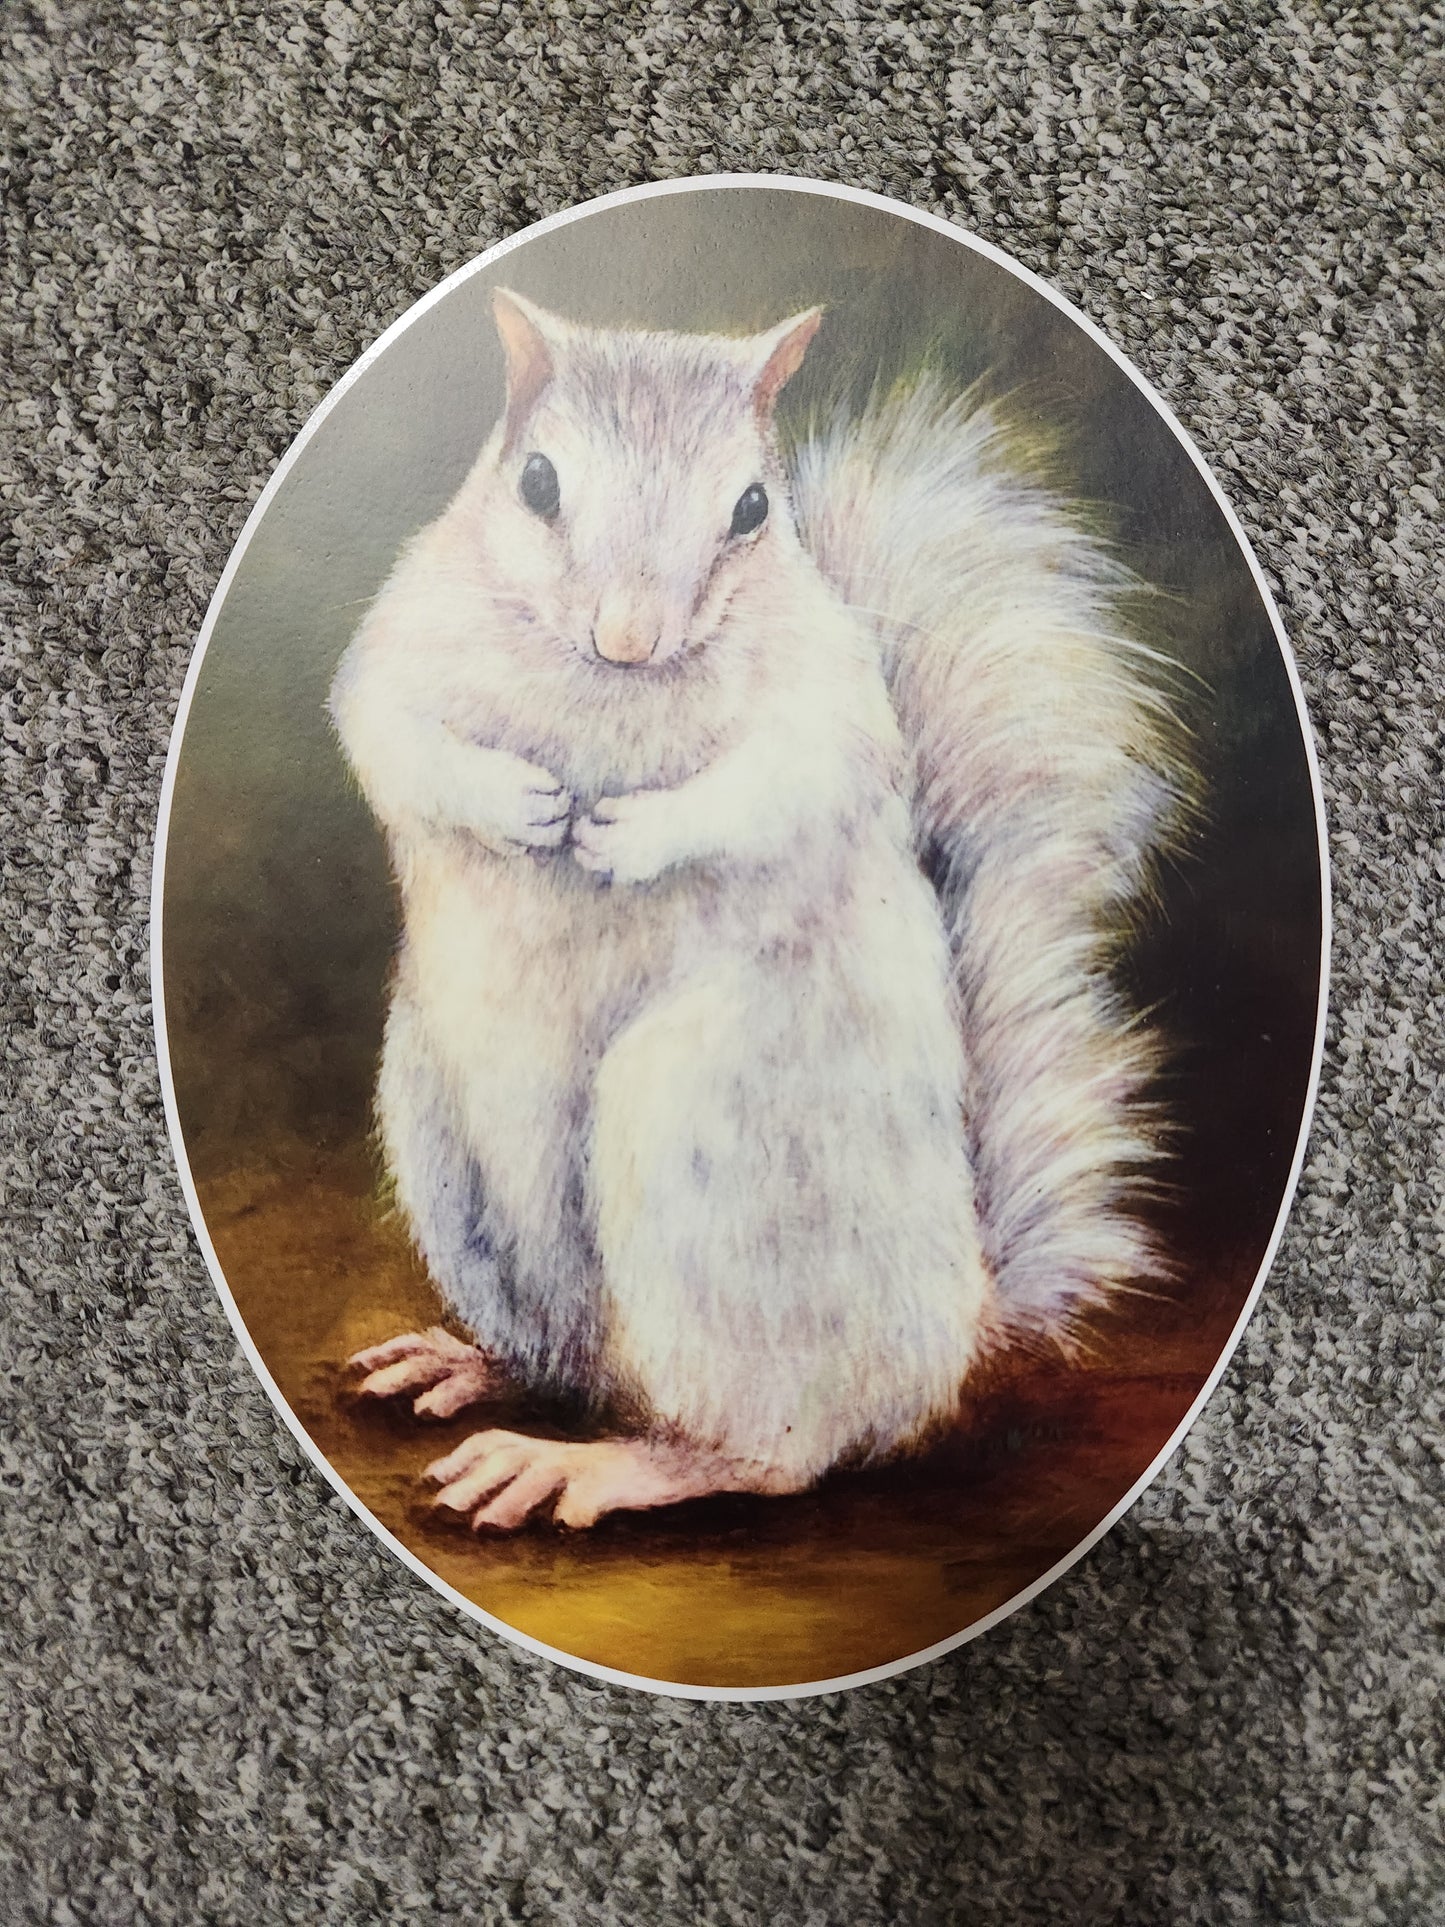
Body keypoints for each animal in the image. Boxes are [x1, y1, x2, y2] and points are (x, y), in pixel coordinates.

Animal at [329, 288, 1185, 1532]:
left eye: (750, 507)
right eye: (534, 481)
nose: (627, 636)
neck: (602, 694)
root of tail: (952, 1332)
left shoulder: (828, 702)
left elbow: (783, 780)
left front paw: (629, 833)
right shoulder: (398, 644)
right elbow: (387, 734)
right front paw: (516, 799)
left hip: (702, 1149)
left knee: (772, 1451)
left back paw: (601, 1464)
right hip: (437, 1135)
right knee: (565, 1363)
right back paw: (469, 1362)